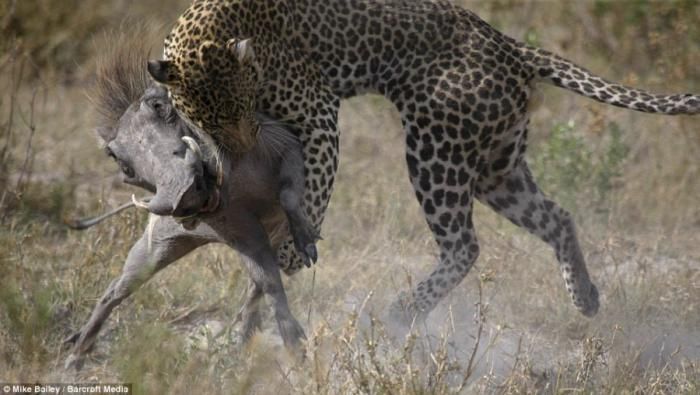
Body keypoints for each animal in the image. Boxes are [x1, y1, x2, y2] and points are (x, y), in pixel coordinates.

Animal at [149, 0, 700, 324]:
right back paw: (584, 296)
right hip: (497, 166)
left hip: (436, 148)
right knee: (556, 217)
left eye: (243, 109)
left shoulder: (319, 109)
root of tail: (513, 48)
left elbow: (316, 182)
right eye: (212, 121)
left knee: (465, 245)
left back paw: (402, 311)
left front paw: (291, 251)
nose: (243, 146)